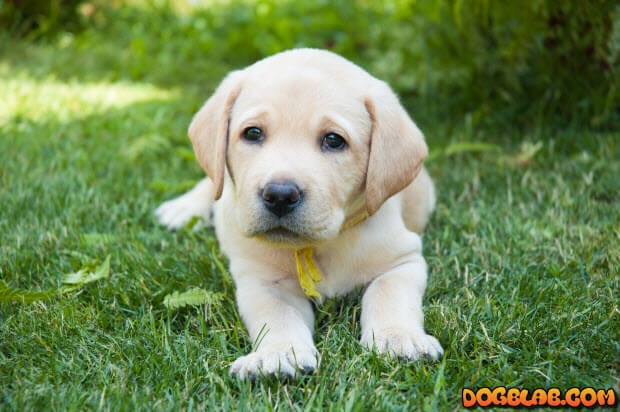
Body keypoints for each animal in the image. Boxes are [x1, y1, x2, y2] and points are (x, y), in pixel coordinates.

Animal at [157, 49, 444, 380]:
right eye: (252, 133)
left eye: (333, 140)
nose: (280, 195)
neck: (316, 246)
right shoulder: (263, 281)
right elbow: (277, 317)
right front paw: (278, 354)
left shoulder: (402, 260)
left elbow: (389, 295)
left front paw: (399, 338)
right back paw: (186, 208)